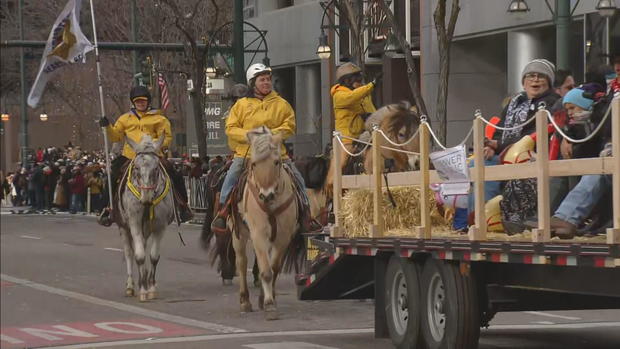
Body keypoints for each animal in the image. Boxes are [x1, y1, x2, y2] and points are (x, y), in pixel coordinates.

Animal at [117, 135, 174, 300]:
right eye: (136, 167)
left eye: (156, 168)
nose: (146, 199)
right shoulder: (134, 222)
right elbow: (139, 255)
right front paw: (143, 290)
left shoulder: (160, 226)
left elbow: (153, 256)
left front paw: (151, 287)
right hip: (123, 227)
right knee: (129, 253)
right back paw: (130, 286)